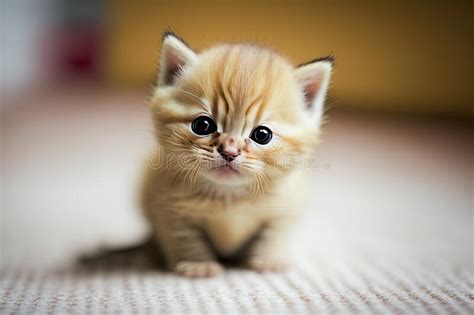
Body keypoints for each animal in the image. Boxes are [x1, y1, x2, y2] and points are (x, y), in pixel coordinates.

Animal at [142, 32, 334, 278]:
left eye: (262, 135)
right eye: (202, 125)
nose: (229, 152)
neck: (229, 196)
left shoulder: (286, 208)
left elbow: (274, 235)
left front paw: (269, 260)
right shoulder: (168, 208)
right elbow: (186, 238)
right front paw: (197, 264)